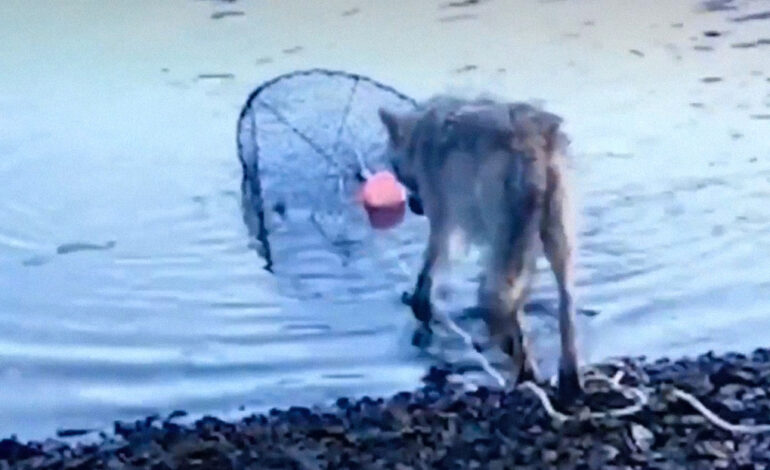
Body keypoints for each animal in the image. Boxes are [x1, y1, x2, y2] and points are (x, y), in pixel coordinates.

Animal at [378, 95, 582, 400]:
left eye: (395, 170)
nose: (415, 206)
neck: (421, 136)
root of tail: (532, 141)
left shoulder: (441, 221)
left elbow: (427, 269)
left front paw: (417, 298)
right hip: (558, 243)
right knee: (564, 309)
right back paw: (566, 375)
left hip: (505, 244)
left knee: (504, 303)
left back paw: (522, 370)